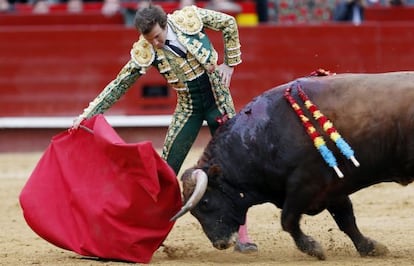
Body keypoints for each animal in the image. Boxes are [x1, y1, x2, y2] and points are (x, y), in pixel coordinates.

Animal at [170, 71, 414, 260]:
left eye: (205, 203)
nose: (220, 243)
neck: (261, 138)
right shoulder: (333, 189)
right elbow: (346, 220)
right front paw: (370, 248)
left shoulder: (305, 184)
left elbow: (287, 220)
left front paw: (313, 248)